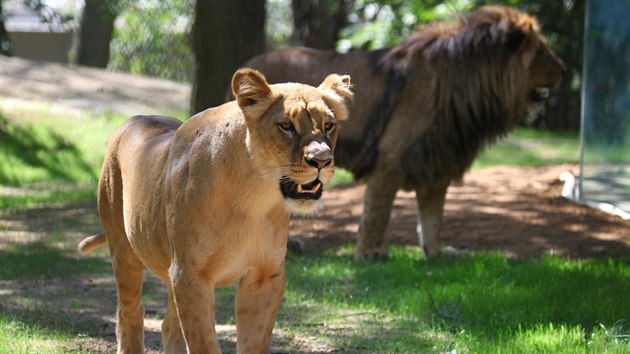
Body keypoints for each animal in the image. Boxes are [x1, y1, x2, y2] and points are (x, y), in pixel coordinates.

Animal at [77, 68, 354, 352]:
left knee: (169, 325)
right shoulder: (190, 275)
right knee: (129, 312)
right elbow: (204, 343)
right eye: (286, 125)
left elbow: (253, 342)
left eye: (329, 126)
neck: (254, 195)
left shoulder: (265, 275)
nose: (322, 161)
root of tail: (135, 118)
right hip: (124, 251)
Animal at [243, 5, 568, 260]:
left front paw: (435, 253)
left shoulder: (437, 160)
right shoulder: (391, 160)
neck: (468, 84)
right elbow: (378, 213)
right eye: (542, 52)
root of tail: (248, 63)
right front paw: (368, 254)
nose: (565, 69)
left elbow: (433, 216)